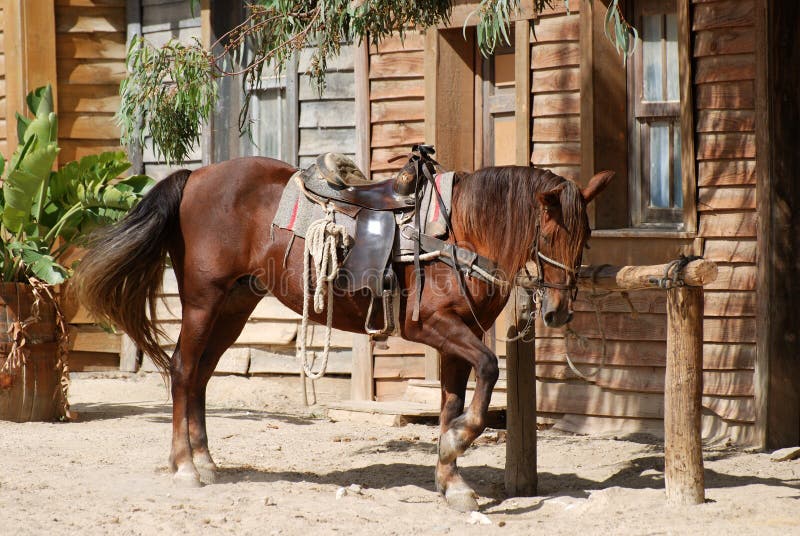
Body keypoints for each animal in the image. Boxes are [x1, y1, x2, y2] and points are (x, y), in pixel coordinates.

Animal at [75, 156, 612, 510]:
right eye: (548, 234)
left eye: (585, 237)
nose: (559, 312)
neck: (456, 232)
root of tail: (195, 177)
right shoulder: (432, 327)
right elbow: (488, 370)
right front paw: (455, 446)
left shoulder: (457, 336)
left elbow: (453, 402)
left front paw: (451, 478)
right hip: (203, 301)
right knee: (184, 371)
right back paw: (185, 466)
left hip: (235, 305)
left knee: (202, 376)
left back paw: (206, 461)